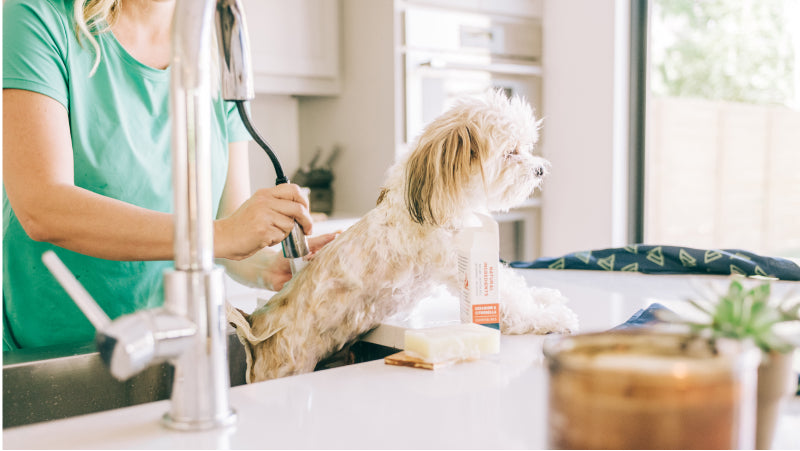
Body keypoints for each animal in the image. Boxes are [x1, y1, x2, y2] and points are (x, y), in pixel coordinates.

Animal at [228, 90, 580, 384]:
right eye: (511, 152)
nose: (540, 169)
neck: (438, 205)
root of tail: (255, 334)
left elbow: (515, 285)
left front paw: (543, 297)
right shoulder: (454, 263)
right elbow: (510, 301)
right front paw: (548, 316)